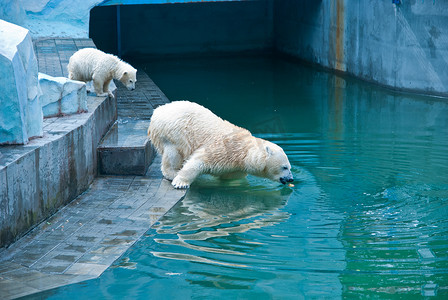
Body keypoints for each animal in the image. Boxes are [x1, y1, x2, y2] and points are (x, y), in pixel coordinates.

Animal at [147, 102, 294, 189]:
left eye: (289, 167)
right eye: (284, 167)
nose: (290, 178)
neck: (243, 153)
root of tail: (158, 110)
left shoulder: (236, 168)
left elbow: (230, 178)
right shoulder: (223, 149)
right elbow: (198, 160)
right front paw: (181, 182)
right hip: (174, 131)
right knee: (174, 152)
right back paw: (172, 173)